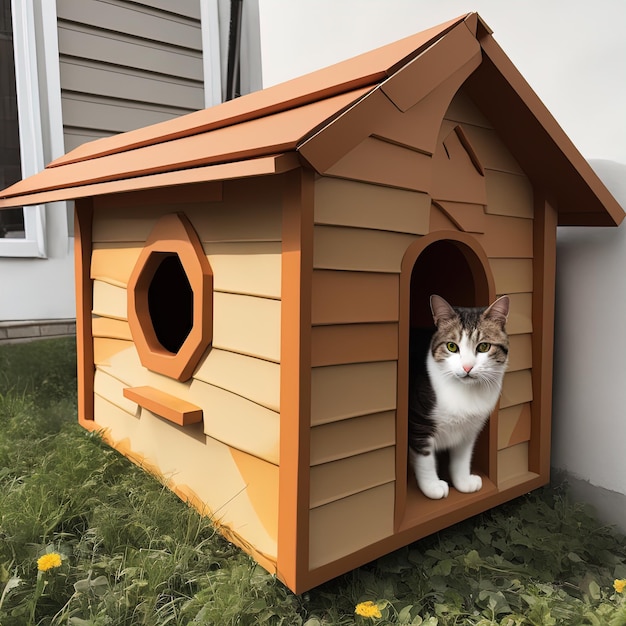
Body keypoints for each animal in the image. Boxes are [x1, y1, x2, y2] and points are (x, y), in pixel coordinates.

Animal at [410, 292, 508, 498]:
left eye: (484, 347)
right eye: (452, 346)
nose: (467, 367)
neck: (465, 391)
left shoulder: (470, 429)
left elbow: (462, 458)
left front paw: (463, 482)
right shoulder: (419, 422)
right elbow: (425, 458)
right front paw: (432, 486)